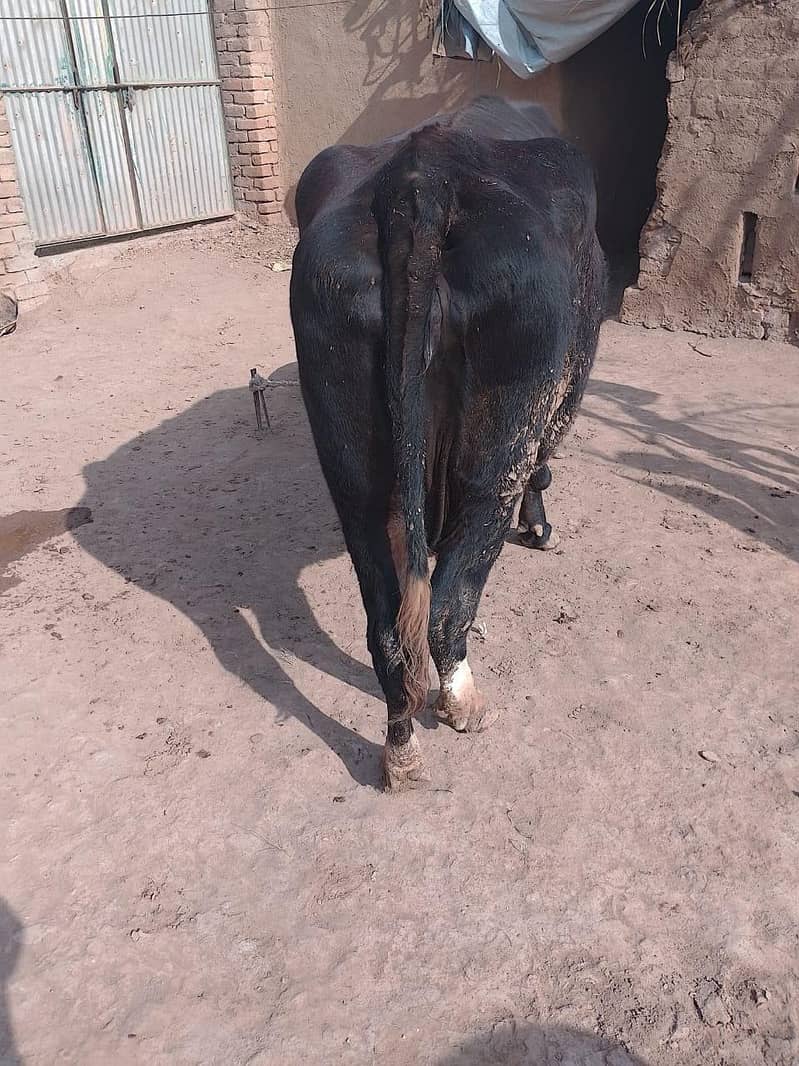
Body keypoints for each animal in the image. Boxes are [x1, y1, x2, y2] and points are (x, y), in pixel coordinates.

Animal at [290, 96, 607, 789]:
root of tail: (419, 181)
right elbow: (544, 468)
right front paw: (542, 529)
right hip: (499, 441)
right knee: (449, 597)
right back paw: (464, 704)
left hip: (349, 454)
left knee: (387, 622)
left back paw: (401, 751)